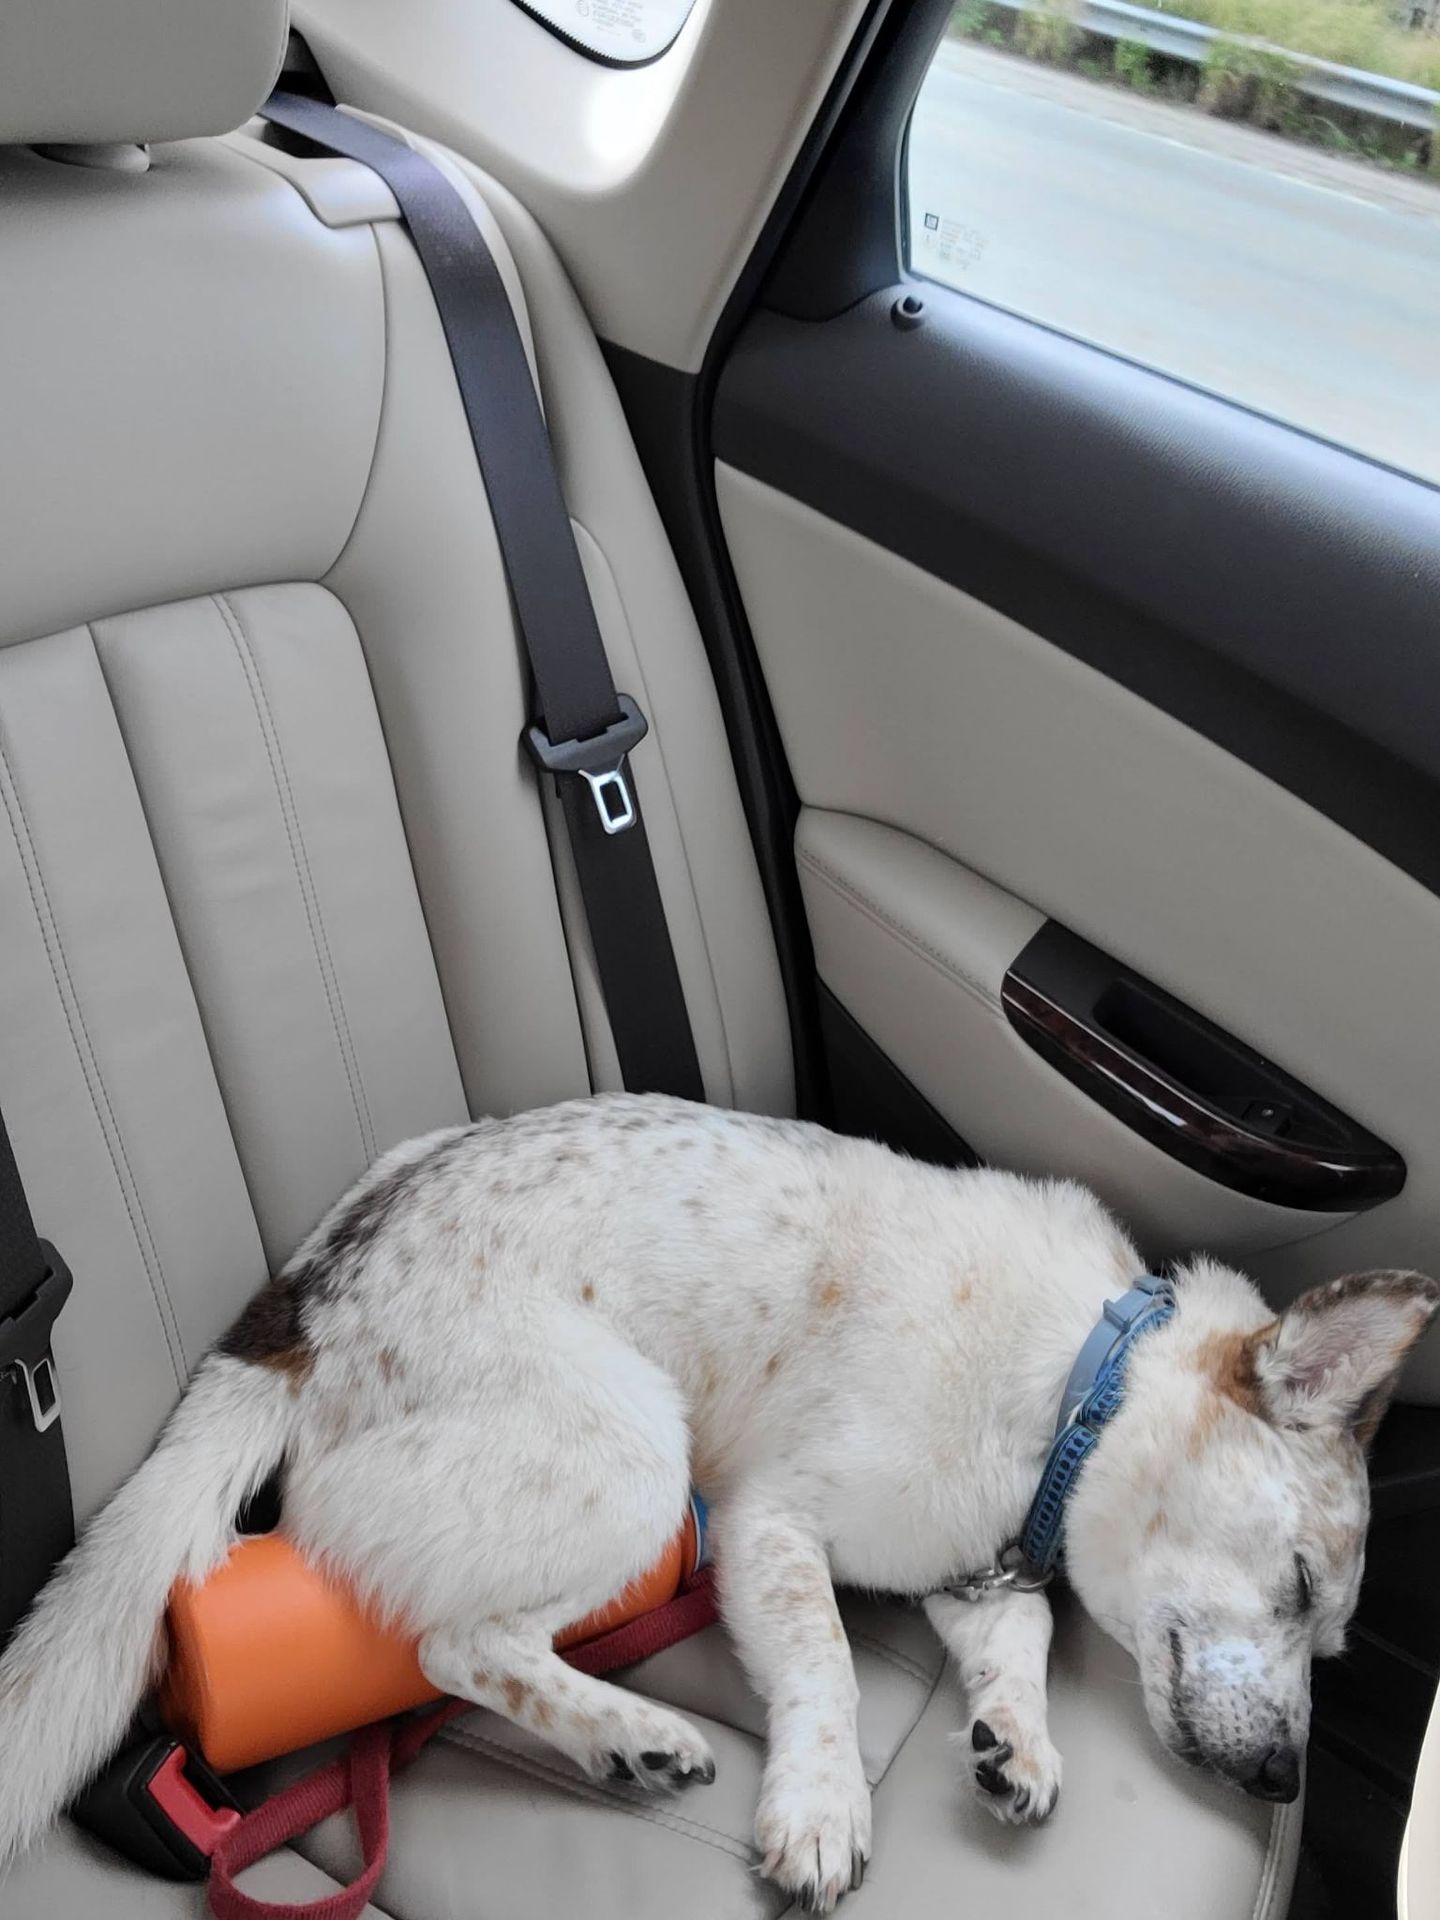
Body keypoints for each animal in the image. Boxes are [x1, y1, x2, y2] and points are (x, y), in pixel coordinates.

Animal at [0, 1098, 1436, 1904]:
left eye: (1333, 1639)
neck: (1080, 1383)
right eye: (1300, 1582)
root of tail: (300, 1305)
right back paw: (624, 1728)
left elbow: (1020, 1638)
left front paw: (1014, 1739)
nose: (1284, 1778)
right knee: (455, 1642)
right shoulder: (767, 1526)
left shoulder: (967, 1568)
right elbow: (830, 1669)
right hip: (641, 1459)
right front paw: (822, 1802)